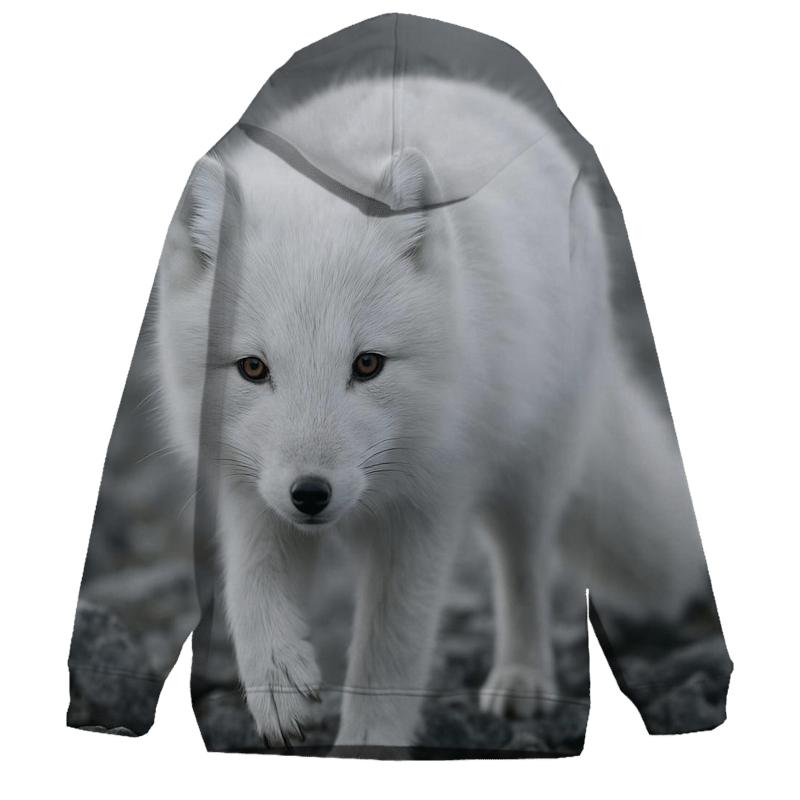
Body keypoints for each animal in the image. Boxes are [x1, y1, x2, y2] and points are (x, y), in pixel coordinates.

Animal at [154, 76, 707, 748]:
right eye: (253, 369)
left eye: (368, 364)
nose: (311, 494)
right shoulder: (250, 492)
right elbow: (250, 592)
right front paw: (278, 687)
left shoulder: (426, 512)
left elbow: (387, 657)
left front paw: (366, 751)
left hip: (533, 470)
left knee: (525, 569)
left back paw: (522, 678)